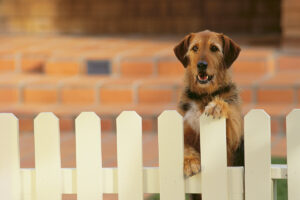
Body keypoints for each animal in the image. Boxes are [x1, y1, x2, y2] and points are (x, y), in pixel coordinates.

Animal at [173, 30, 244, 200]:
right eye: (195, 48)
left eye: (214, 48)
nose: (201, 65)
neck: (204, 95)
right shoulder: (185, 130)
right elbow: (184, 146)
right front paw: (190, 162)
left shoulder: (233, 136)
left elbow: (230, 113)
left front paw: (217, 105)